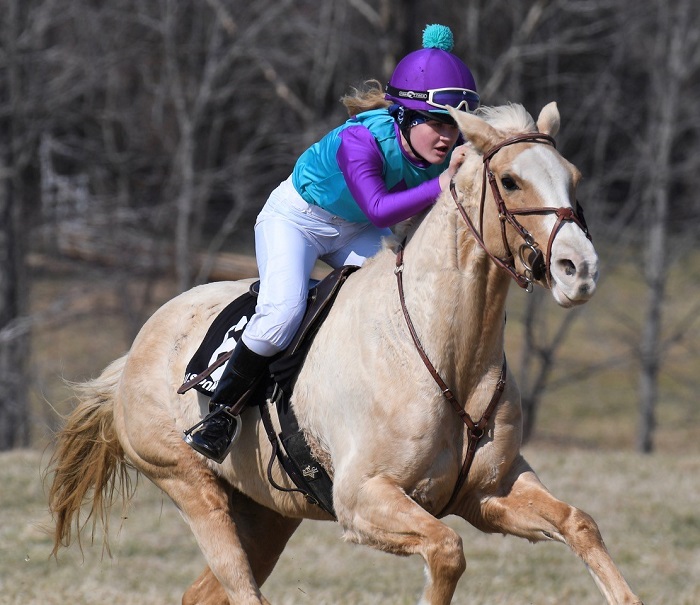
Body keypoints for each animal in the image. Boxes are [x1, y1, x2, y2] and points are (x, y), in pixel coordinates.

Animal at [47, 102, 643, 605]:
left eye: (573, 177)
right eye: (510, 180)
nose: (580, 270)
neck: (450, 351)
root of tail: (133, 355)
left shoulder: (491, 493)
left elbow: (579, 523)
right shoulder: (363, 500)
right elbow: (447, 550)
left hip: (267, 514)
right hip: (191, 487)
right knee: (238, 584)